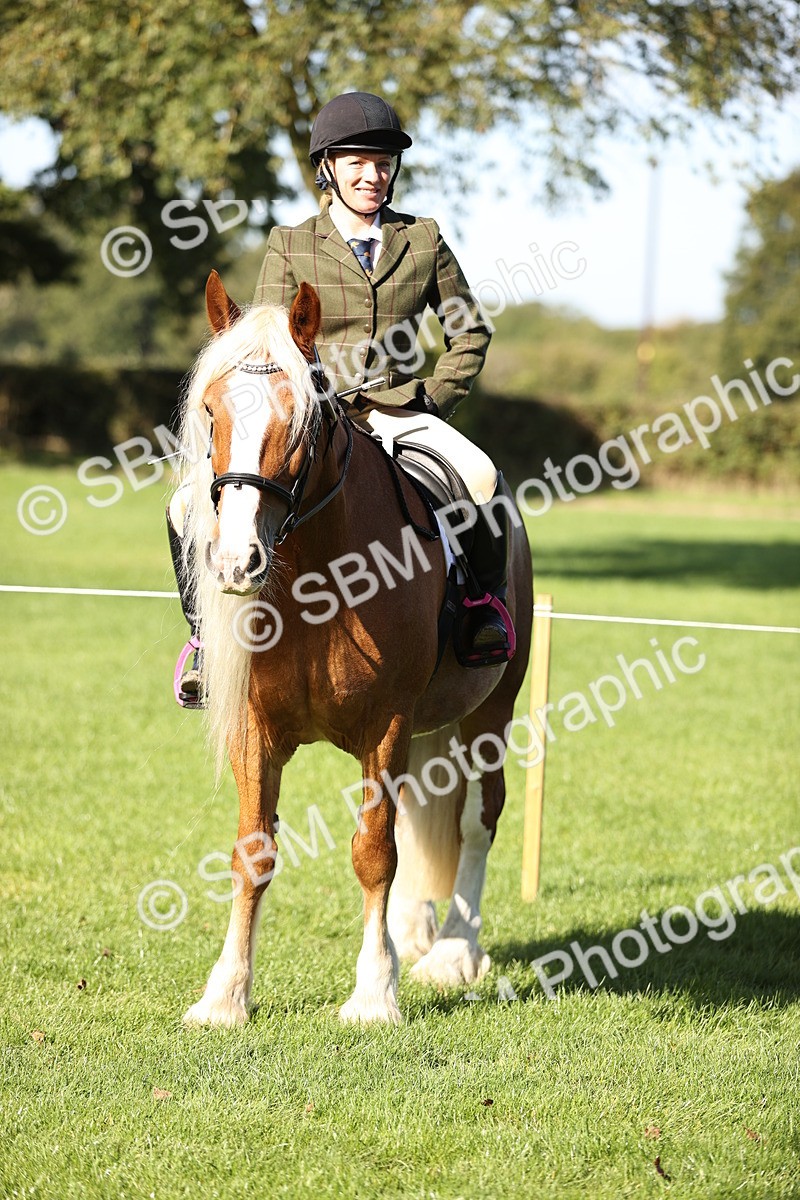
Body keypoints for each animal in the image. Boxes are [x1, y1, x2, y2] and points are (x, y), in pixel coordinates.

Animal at [177, 270, 533, 1026]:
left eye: (300, 420)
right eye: (213, 412)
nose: (236, 562)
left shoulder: (388, 725)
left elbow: (374, 852)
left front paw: (374, 993)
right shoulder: (255, 729)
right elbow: (253, 851)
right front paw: (225, 995)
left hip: (491, 712)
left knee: (477, 820)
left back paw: (453, 952)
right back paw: (414, 931)